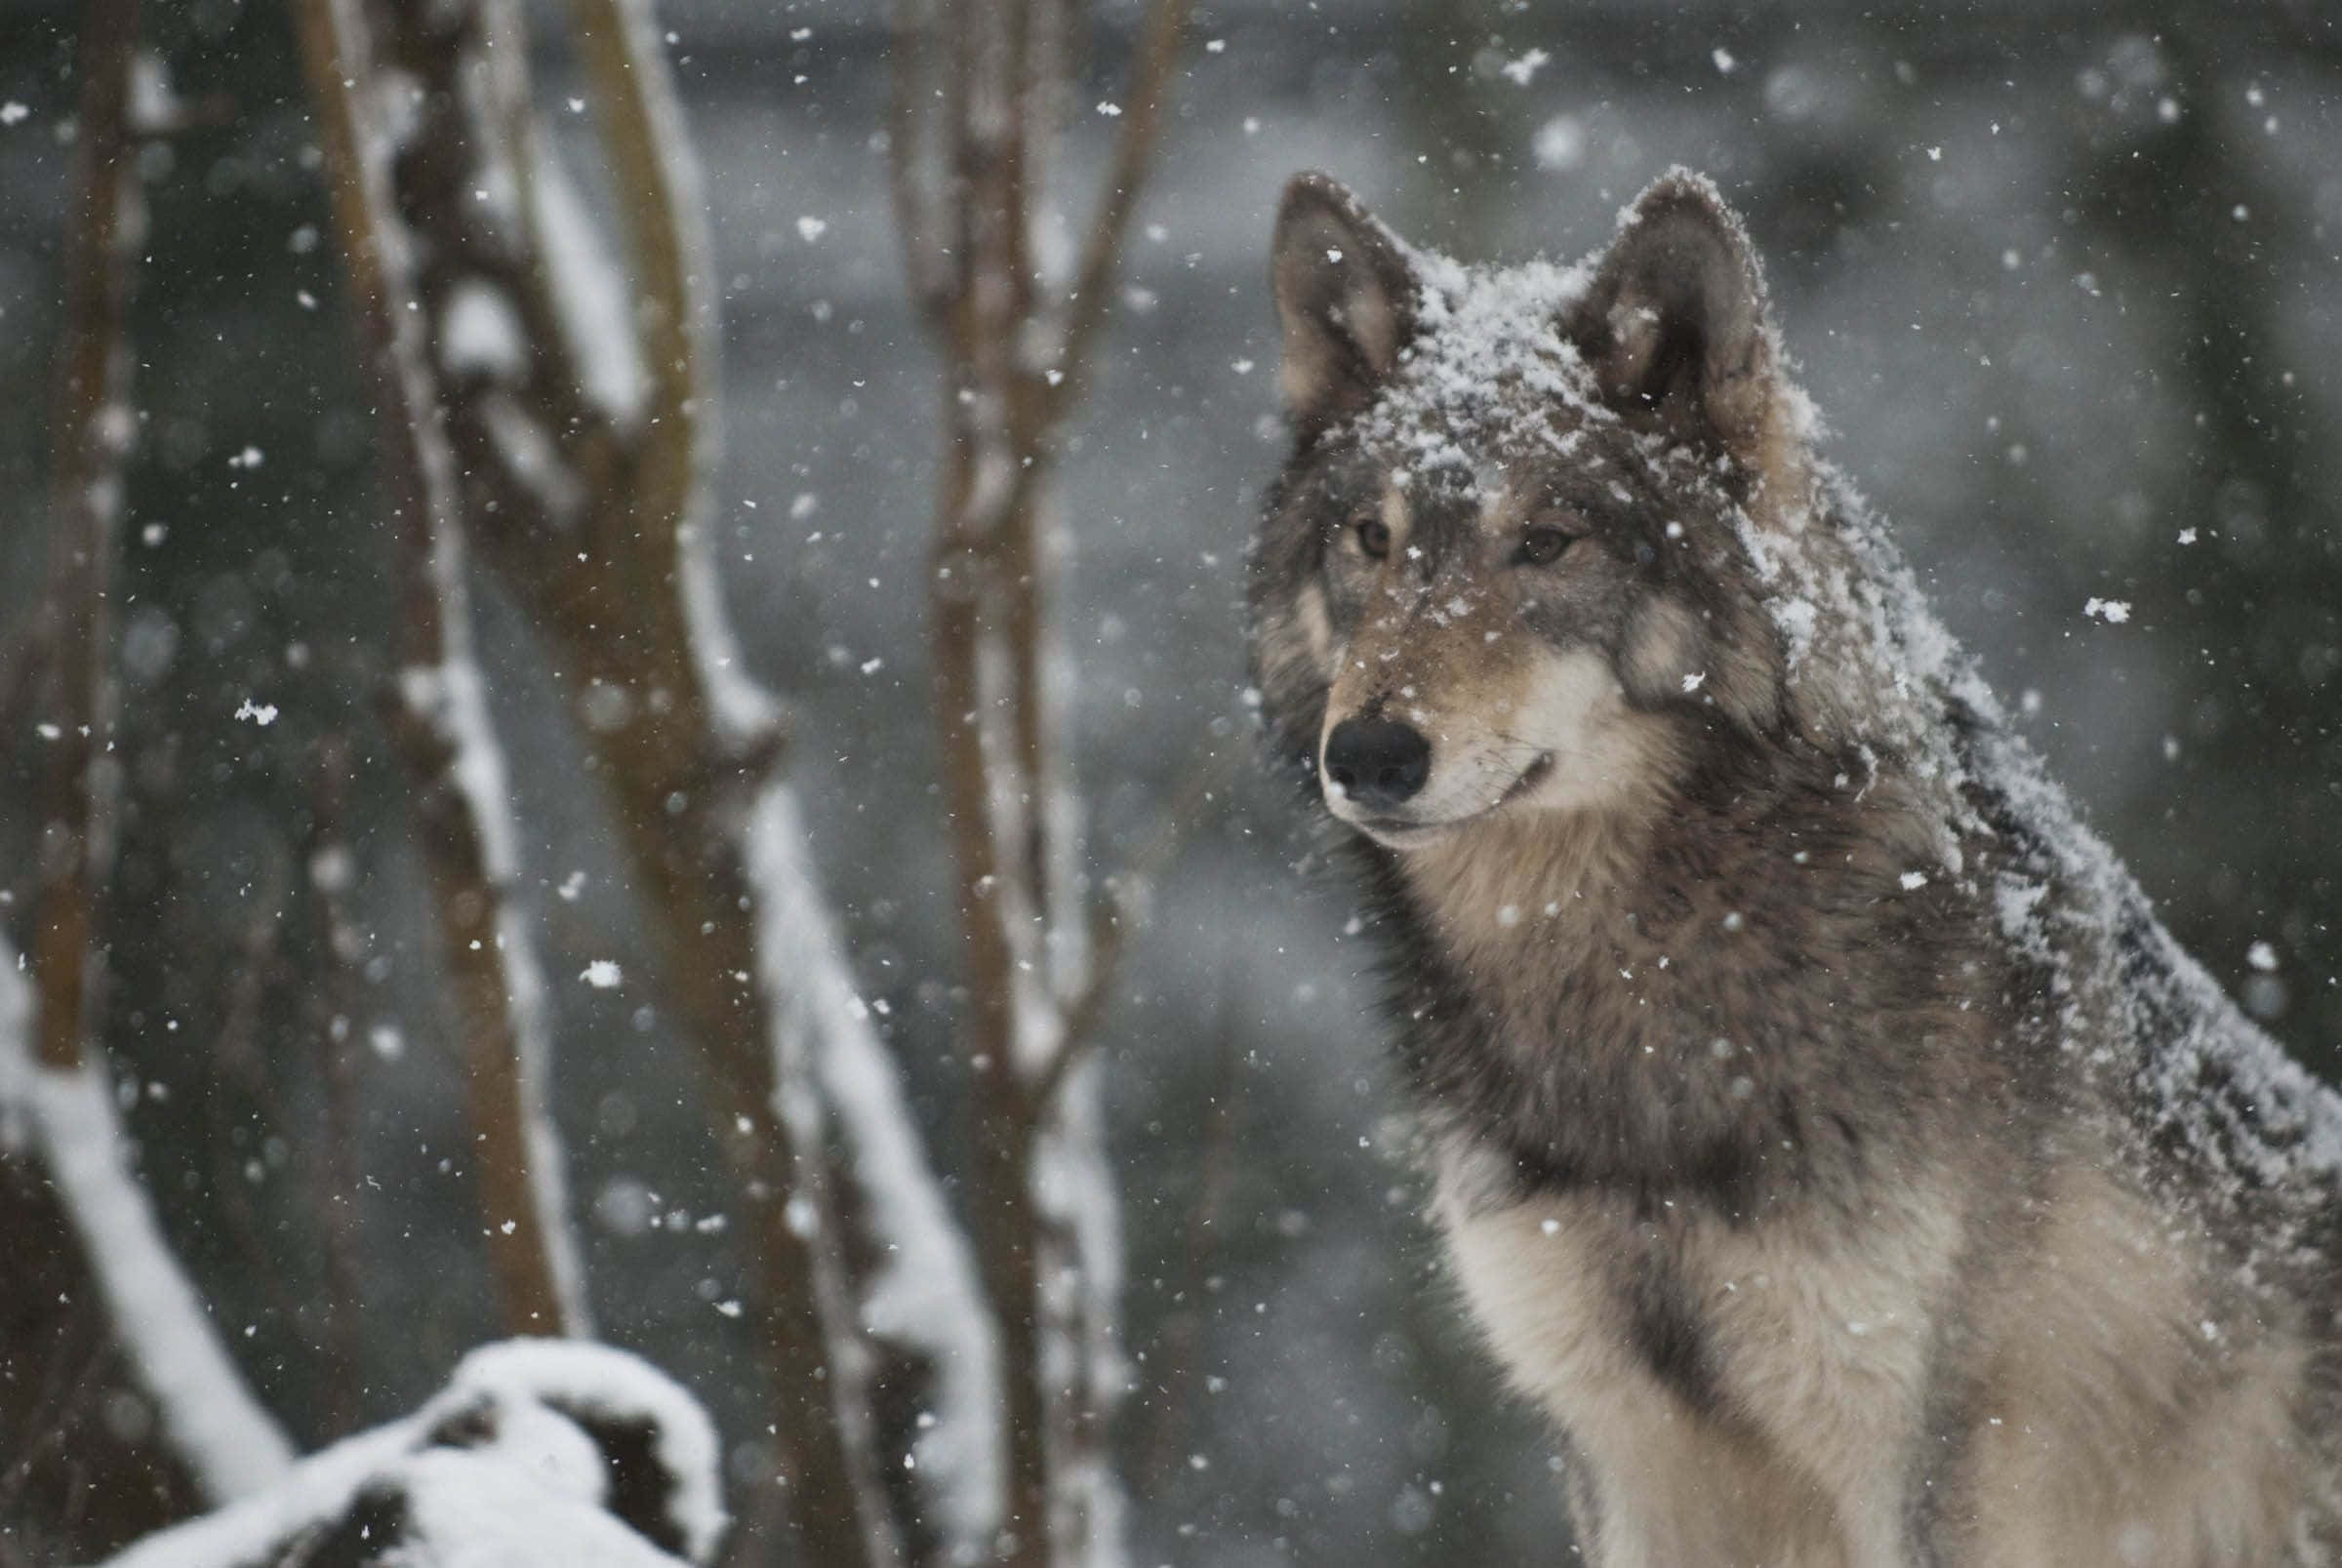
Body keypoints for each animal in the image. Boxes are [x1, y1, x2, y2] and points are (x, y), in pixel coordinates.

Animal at [1247, 167, 2342, 1566]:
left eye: (1547, 541)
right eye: (1371, 538)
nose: (1370, 753)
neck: (1635, 998)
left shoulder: (1925, 1458)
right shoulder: (1625, 1458)